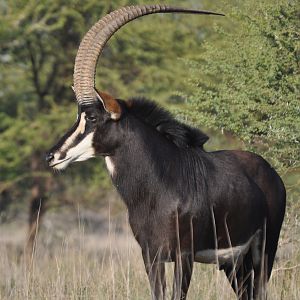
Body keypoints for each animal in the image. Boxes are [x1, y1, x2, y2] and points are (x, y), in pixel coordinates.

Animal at [46, 5, 286, 300]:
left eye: (91, 117)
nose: (52, 156)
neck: (159, 185)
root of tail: (272, 173)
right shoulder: (151, 255)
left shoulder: (184, 256)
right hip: (234, 263)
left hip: (264, 252)